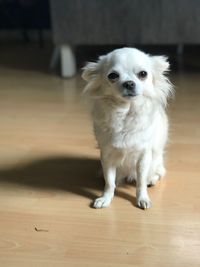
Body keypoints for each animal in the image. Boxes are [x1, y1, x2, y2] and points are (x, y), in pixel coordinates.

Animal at [82, 48, 173, 211]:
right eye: (113, 76)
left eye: (143, 74)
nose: (129, 83)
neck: (126, 113)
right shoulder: (107, 156)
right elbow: (109, 181)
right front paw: (106, 198)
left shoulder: (143, 156)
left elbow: (141, 181)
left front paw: (142, 198)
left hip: (156, 160)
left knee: (158, 172)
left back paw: (152, 179)